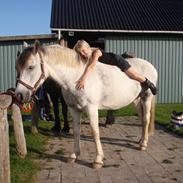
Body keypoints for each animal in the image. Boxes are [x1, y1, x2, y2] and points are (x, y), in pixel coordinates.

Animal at [15, 40, 157, 169]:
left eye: (31, 67)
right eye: (17, 68)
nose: (19, 95)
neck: (75, 77)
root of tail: (151, 66)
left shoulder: (91, 108)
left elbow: (95, 132)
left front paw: (98, 160)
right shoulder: (74, 109)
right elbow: (76, 131)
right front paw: (74, 155)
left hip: (146, 98)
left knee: (146, 118)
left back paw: (143, 144)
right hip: (137, 100)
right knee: (142, 119)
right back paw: (140, 140)